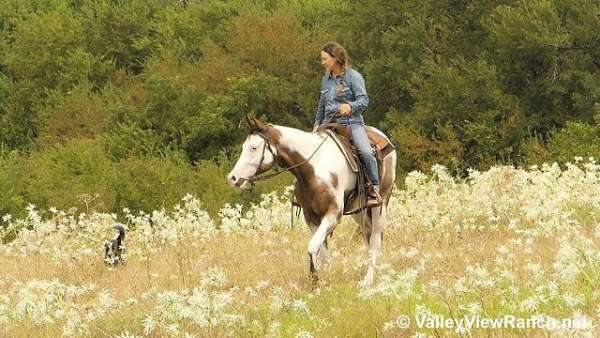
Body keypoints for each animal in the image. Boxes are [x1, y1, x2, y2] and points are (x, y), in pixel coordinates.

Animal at [227, 117, 396, 288]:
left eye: (254, 147)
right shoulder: (311, 217)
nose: (233, 178)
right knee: (367, 236)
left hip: (380, 205)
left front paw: (314, 280)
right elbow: (324, 255)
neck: (313, 168)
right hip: (359, 211)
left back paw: (368, 281)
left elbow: (312, 246)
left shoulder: (333, 214)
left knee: (375, 241)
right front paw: (327, 283)